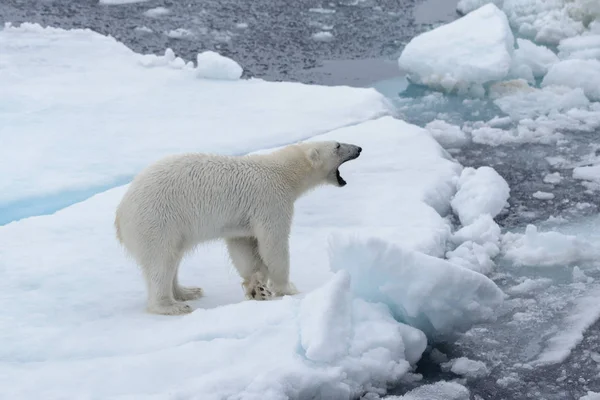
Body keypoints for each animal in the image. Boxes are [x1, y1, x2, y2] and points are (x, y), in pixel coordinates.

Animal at [115, 141, 364, 316]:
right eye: (338, 145)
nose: (359, 148)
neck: (282, 171)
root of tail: (120, 216)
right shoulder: (270, 200)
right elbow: (273, 244)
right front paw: (287, 288)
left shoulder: (241, 220)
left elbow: (242, 247)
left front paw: (257, 288)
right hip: (158, 220)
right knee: (161, 261)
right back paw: (171, 305)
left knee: (174, 257)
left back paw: (187, 291)